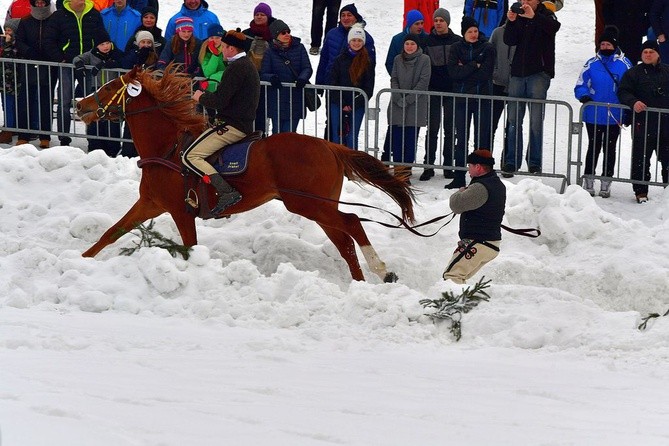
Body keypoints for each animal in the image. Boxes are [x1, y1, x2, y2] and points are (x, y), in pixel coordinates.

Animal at [73, 65, 412, 282]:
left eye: (108, 88)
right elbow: (111, 232)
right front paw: (81, 260)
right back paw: (360, 283)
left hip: (309, 204)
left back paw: (382, 270)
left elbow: (189, 247)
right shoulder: (150, 204)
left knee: (352, 223)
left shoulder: (180, 212)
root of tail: (328, 145)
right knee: (345, 243)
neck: (166, 148)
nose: (79, 106)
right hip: (319, 207)